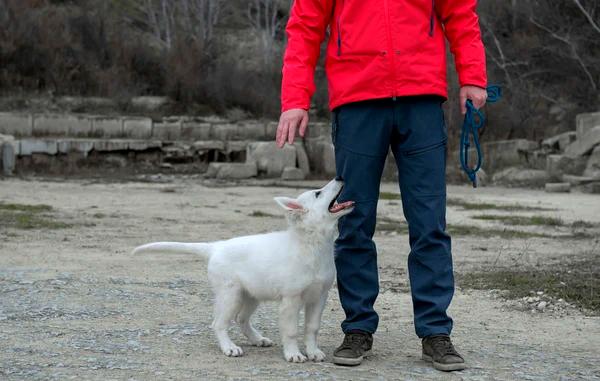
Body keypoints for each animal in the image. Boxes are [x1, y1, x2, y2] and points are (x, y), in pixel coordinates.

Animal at [134, 179, 354, 362]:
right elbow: (291, 330)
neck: (312, 243)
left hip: (251, 294)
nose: (340, 177)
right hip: (230, 295)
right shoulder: (291, 300)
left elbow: (312, 327)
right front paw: (294, 354)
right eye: (318, 193)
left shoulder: (319, 297)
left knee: (241, 319)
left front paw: (313, 352)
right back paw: (229, 348)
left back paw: (257, 339)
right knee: (219, 323)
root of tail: (215, 247)